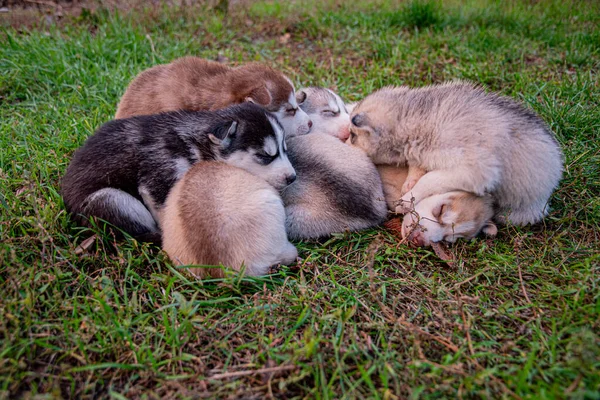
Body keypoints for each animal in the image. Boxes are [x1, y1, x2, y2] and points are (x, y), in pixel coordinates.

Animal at [61, 102, 296, 241]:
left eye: (285, 149)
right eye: (265, 156)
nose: (293, 178)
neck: (195, 144)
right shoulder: (158, 176)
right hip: (112, 200)